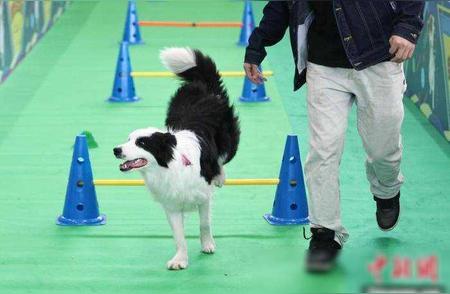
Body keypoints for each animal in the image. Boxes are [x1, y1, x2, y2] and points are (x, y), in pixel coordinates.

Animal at [112, 47, 239, 270]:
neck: (168, 168)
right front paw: (180, 260)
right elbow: (179, 236)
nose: (116, 150)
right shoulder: (171, 205)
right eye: (128, 139)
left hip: (228, 137)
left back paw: (219, 176)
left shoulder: (203, 196)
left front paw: (207, 245)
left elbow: (204, 223)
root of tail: (202, 85)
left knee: (222, 157)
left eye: (141, 143)